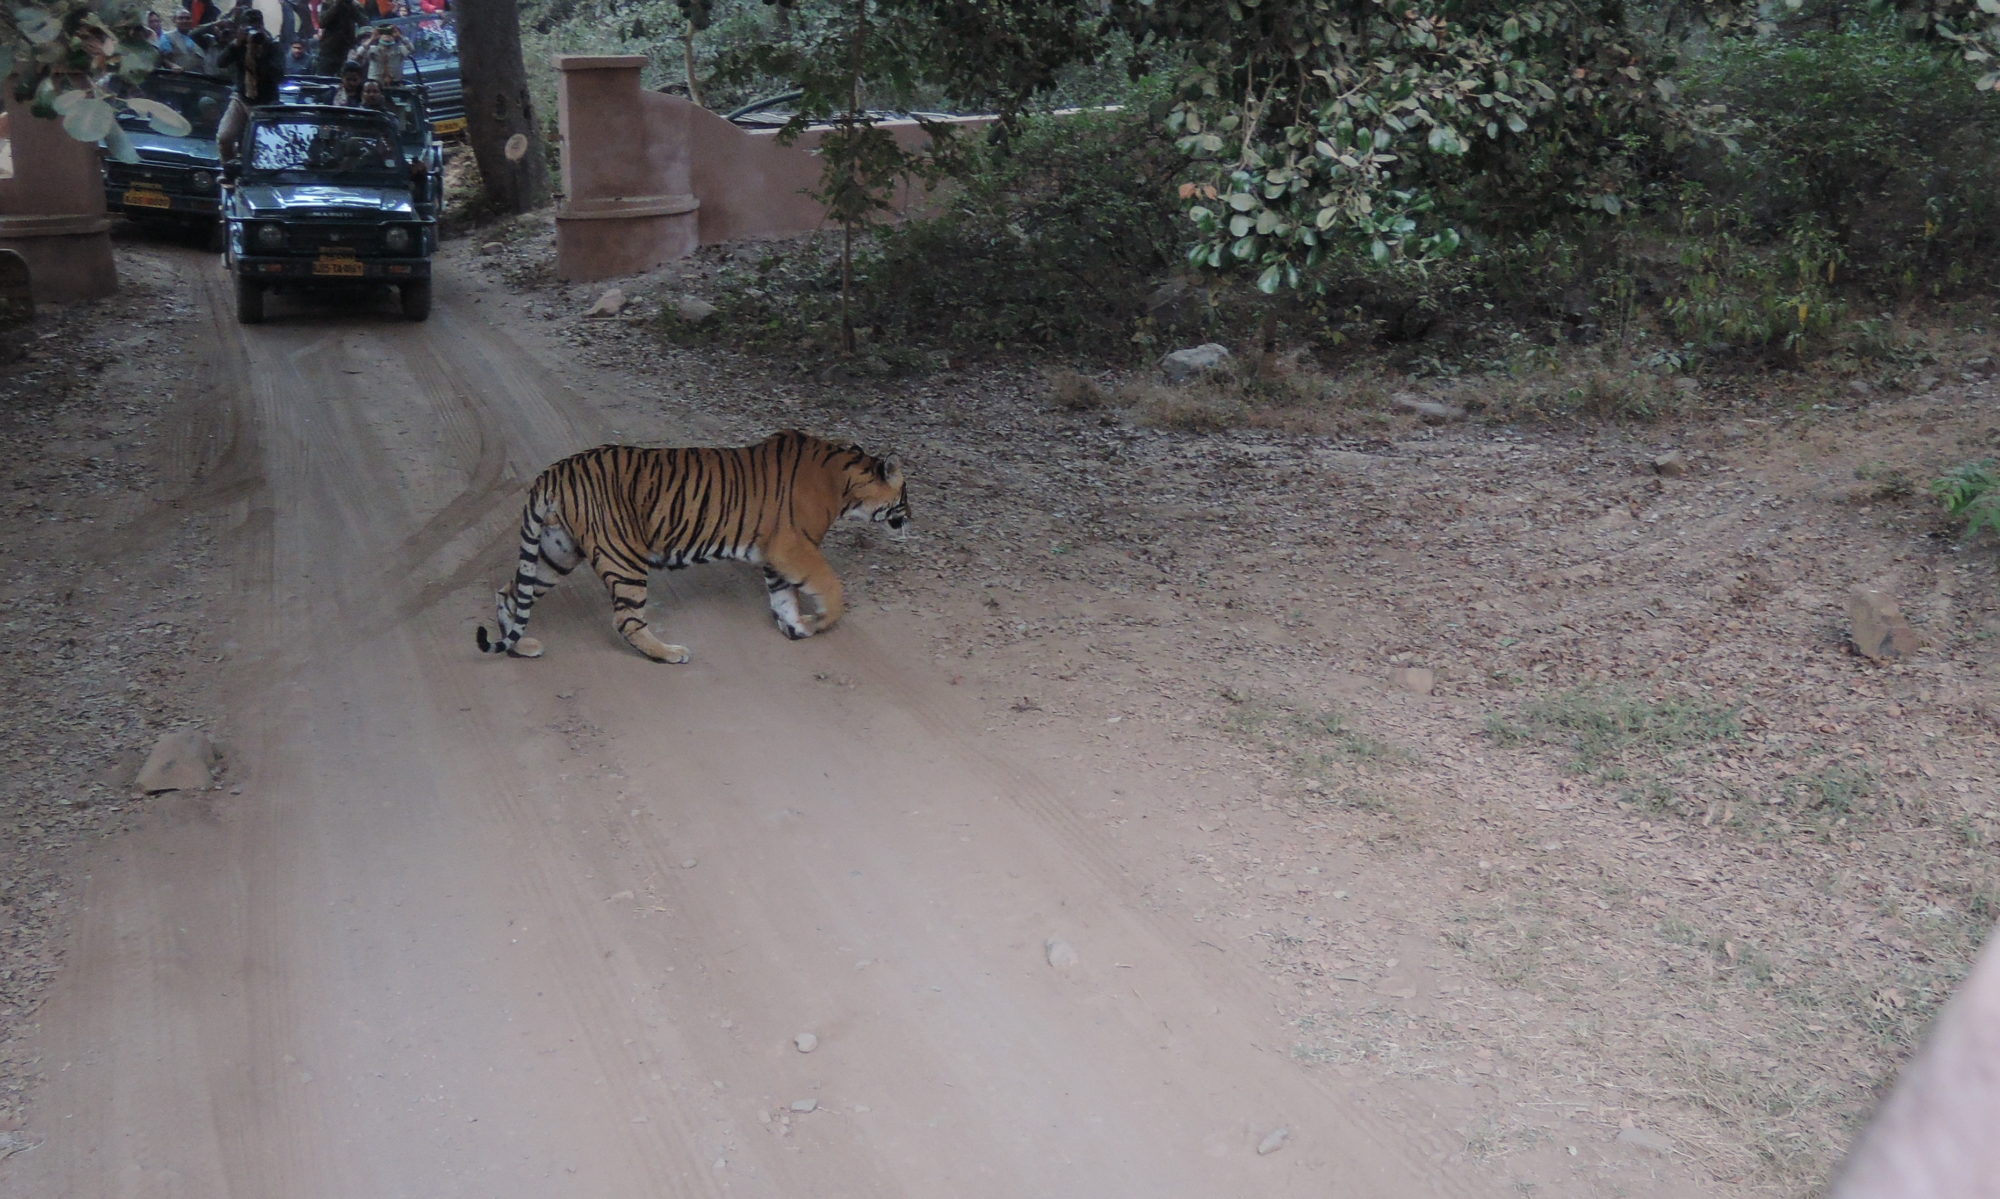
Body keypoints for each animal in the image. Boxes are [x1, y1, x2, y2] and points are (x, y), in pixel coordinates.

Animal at [472, 427, 912, 659]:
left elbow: (784, 596)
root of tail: (554, 471)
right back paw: (669, 653)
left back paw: (521, 645)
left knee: (510, 591)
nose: (910, 518)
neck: (845, 484)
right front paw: (820, 620)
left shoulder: (775, 556)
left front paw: (796, 626)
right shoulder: (793, 546)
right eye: (905, 495)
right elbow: (830, 586)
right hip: (623, 556)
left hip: (556, 551)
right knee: (626, 619)